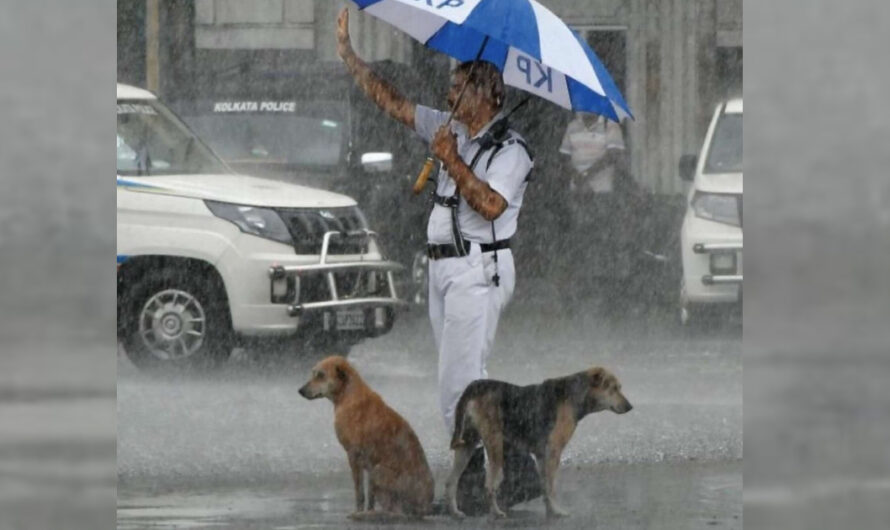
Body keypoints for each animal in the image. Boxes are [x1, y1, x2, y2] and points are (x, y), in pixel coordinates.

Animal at [298, 352, 434, 516]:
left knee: (396, 509)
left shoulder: (353, 455)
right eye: (314, 373)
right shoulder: (368, 463)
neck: (348, 395)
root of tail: (426, 506)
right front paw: (367, 510)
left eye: (321, 375)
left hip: (378, 471)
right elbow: (370, 496)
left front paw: (358, 511)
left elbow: (360, 492)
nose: (300, 390)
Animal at [444, 366, 632, 516]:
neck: (575, 394)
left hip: (467, 444)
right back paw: (496, 513)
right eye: (613, 388)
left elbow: (544, 487)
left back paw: (455, 512)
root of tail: (476, 385)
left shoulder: (542, 455)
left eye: (619, 388)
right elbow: (551, 487)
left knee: (451, 482)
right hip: (495, 445)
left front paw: (550, 511)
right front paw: (558, 511)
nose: (630, 407)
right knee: (489, 486)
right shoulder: (554, 452)